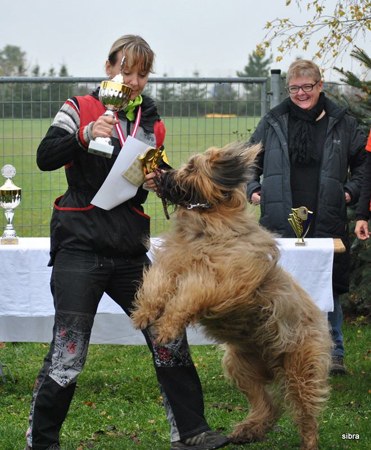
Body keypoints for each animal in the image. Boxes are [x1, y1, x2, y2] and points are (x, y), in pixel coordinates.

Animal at [132, 142, 332, 450]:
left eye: (192, 168)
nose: (161, 174)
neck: (208, 221)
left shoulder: (223, 278)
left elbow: (188, 294)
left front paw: (167, 327)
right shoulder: (173, 261)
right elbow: (158, 283)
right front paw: (144, 313)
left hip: (300, 363)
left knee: (305, 408)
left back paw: (308, 441)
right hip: (240, 364)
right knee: (266, 403)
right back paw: (250, 429)